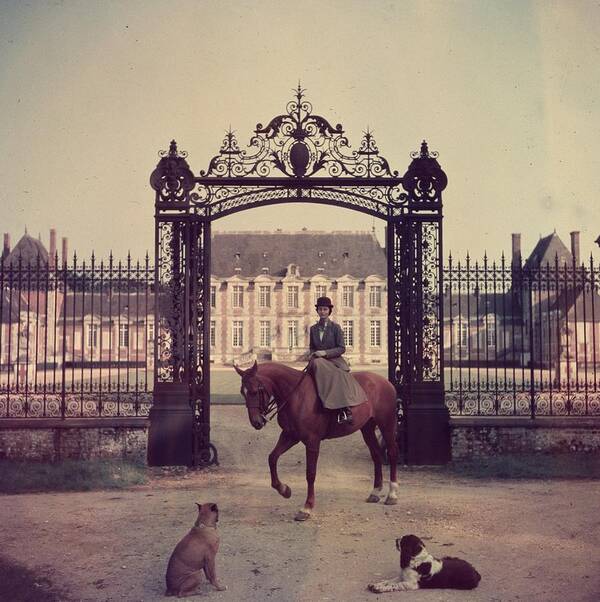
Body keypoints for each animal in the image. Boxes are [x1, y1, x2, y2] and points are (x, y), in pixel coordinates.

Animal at [234, 358, 398, 516]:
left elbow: (310, 474)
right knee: (376, 454)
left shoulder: (312, 441)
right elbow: (272, 458)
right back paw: (375, 492)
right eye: (242, 392)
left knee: (391, 453)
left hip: (387, 424)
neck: (296, 394)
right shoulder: (290, 436)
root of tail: (384, 381)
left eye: (255, 391)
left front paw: (307, 507)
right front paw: (284, 489)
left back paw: (392, 494)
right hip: (367, 428)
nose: (256, 422)